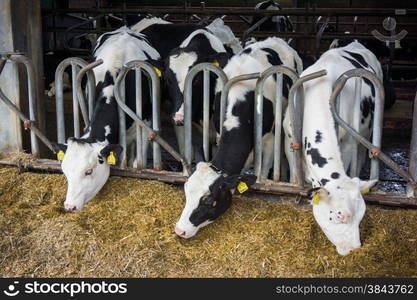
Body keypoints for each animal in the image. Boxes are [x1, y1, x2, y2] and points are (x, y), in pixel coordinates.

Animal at [282, 40, 380, 255]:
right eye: (339, 216)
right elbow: (294, 175)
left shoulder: (348, 143)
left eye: (361, 216)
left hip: (366, 130)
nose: (354, 248)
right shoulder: (288, 140)